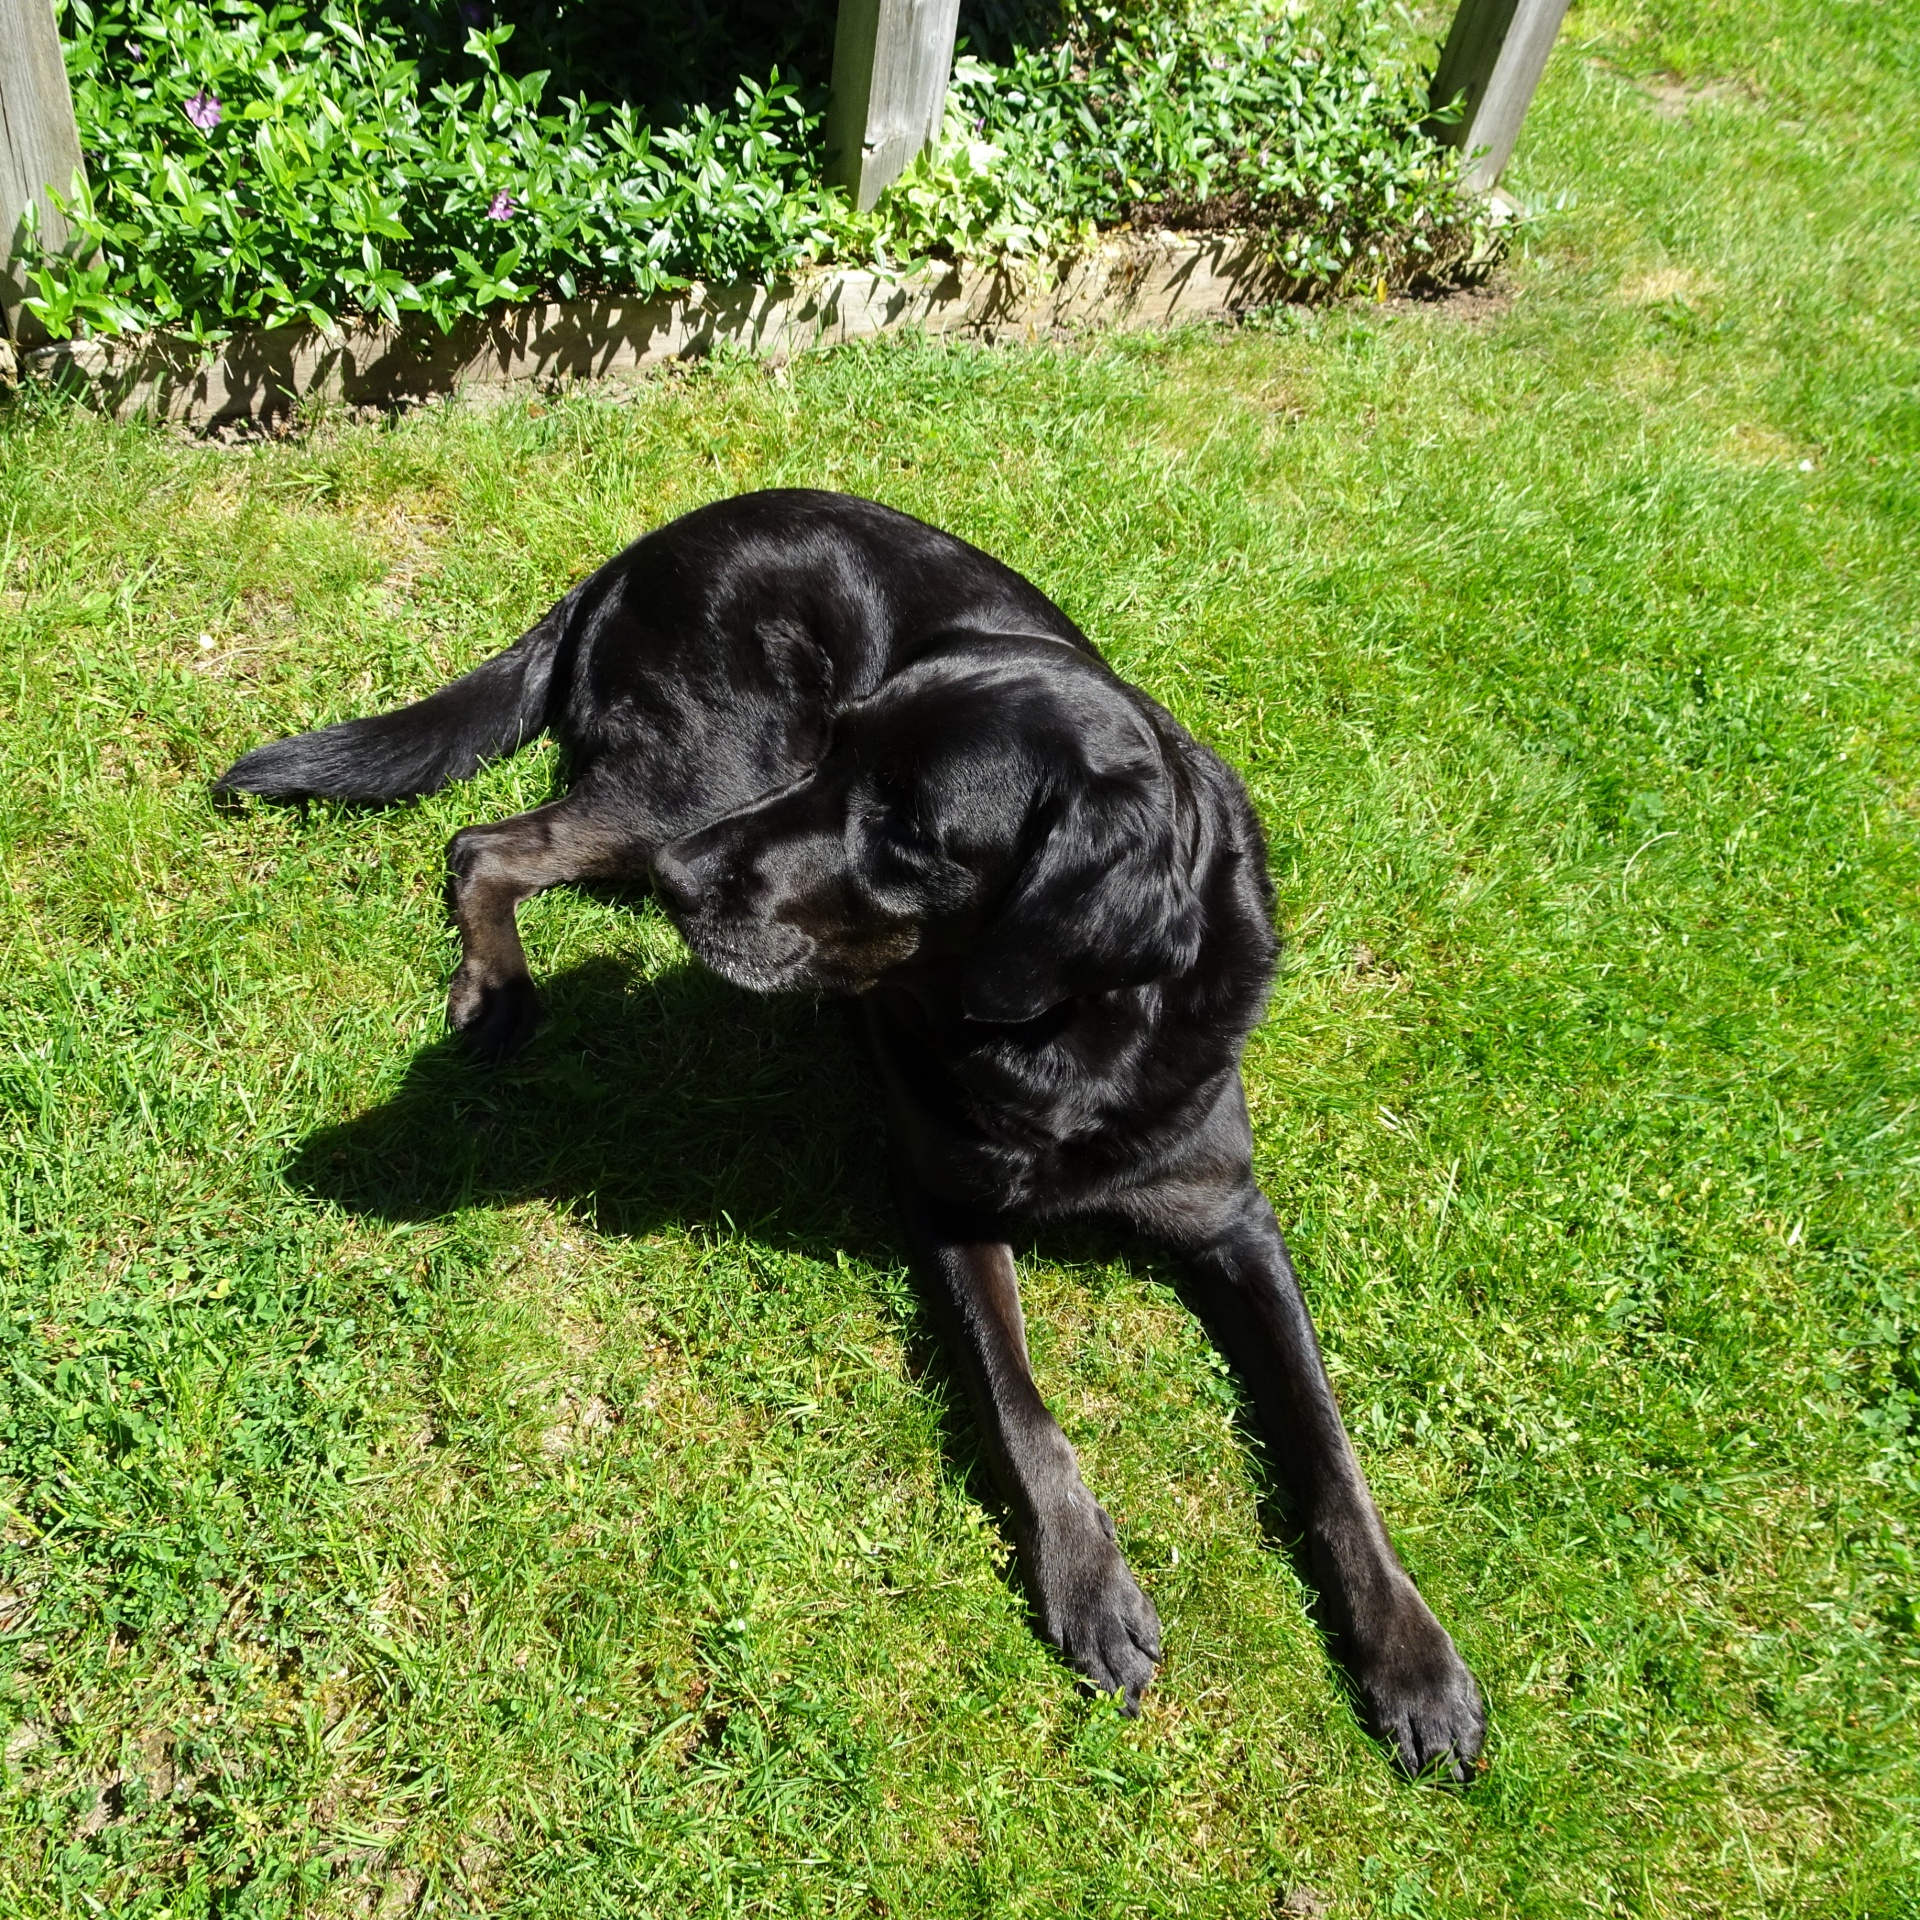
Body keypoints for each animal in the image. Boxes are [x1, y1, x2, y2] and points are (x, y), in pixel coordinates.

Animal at [220, 487, 1482, 1774]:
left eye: (910, 833)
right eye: (837, 755)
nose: (681, 883)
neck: (1067, 1033)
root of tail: (638, 551)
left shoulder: (1232, 1219)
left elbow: (1330, 1453)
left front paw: (1411, 1656)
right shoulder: (947, 1200)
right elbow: (1026, 1414)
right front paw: (1088, 1584)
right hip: (698, 772)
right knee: (484, 844)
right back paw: (498, 987)